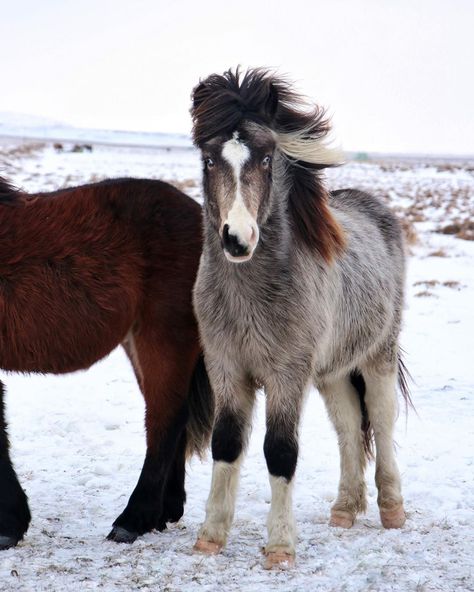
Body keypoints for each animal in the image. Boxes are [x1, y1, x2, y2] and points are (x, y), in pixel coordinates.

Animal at [0, 176, 214, 552]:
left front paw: (10, 524)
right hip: (139, 344)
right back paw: (165, 512)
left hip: (163, 339)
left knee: (164, 420)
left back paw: (133, 520)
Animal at [191, 69, 410, 568]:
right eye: (209, 159)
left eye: (267, 157)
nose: (237, 238)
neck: (249, 295)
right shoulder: (226, 369)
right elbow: (226, 443)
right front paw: (211, 536)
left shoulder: (286, 375)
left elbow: (280, 451)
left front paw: (279, 547)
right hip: (331, 371)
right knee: (348, 425)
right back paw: (345, 508)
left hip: (378, 355)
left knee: (381, 420)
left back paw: (392, 509)